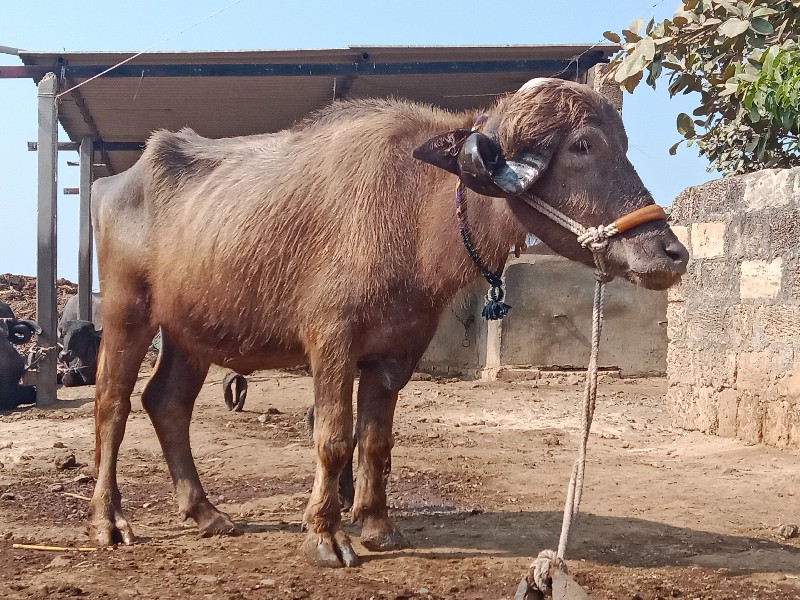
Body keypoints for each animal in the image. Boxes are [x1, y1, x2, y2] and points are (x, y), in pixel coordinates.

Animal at [86, 77, 688, 564]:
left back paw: (207, 513)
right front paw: (325, 535)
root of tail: (115, 183)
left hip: (190, 332)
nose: (672, 253)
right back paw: (108, 522)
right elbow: (334, 437)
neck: (417, 210)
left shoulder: (397, 352)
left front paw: (377, 526)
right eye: (583, 146)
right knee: (112, 404)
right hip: (127, 310)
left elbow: (376, 440)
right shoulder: (330, 340)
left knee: (167, 403)